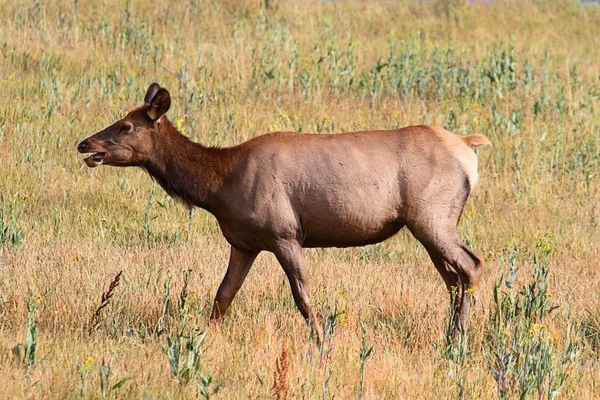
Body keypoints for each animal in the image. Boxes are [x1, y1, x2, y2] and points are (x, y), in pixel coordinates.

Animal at [79, 83, 490, 340]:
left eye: (125, 125)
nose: (85, 143)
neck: (219, 187)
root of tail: (468, 148)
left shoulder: (284, 233)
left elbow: (302, 297)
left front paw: (322, 342)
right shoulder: (244, 242)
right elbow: (222, 296)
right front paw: (199, 339)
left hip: (431, 215)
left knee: (470, 266)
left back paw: (459, 341)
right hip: (427, 224)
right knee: (452, 279)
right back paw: (449, 336)